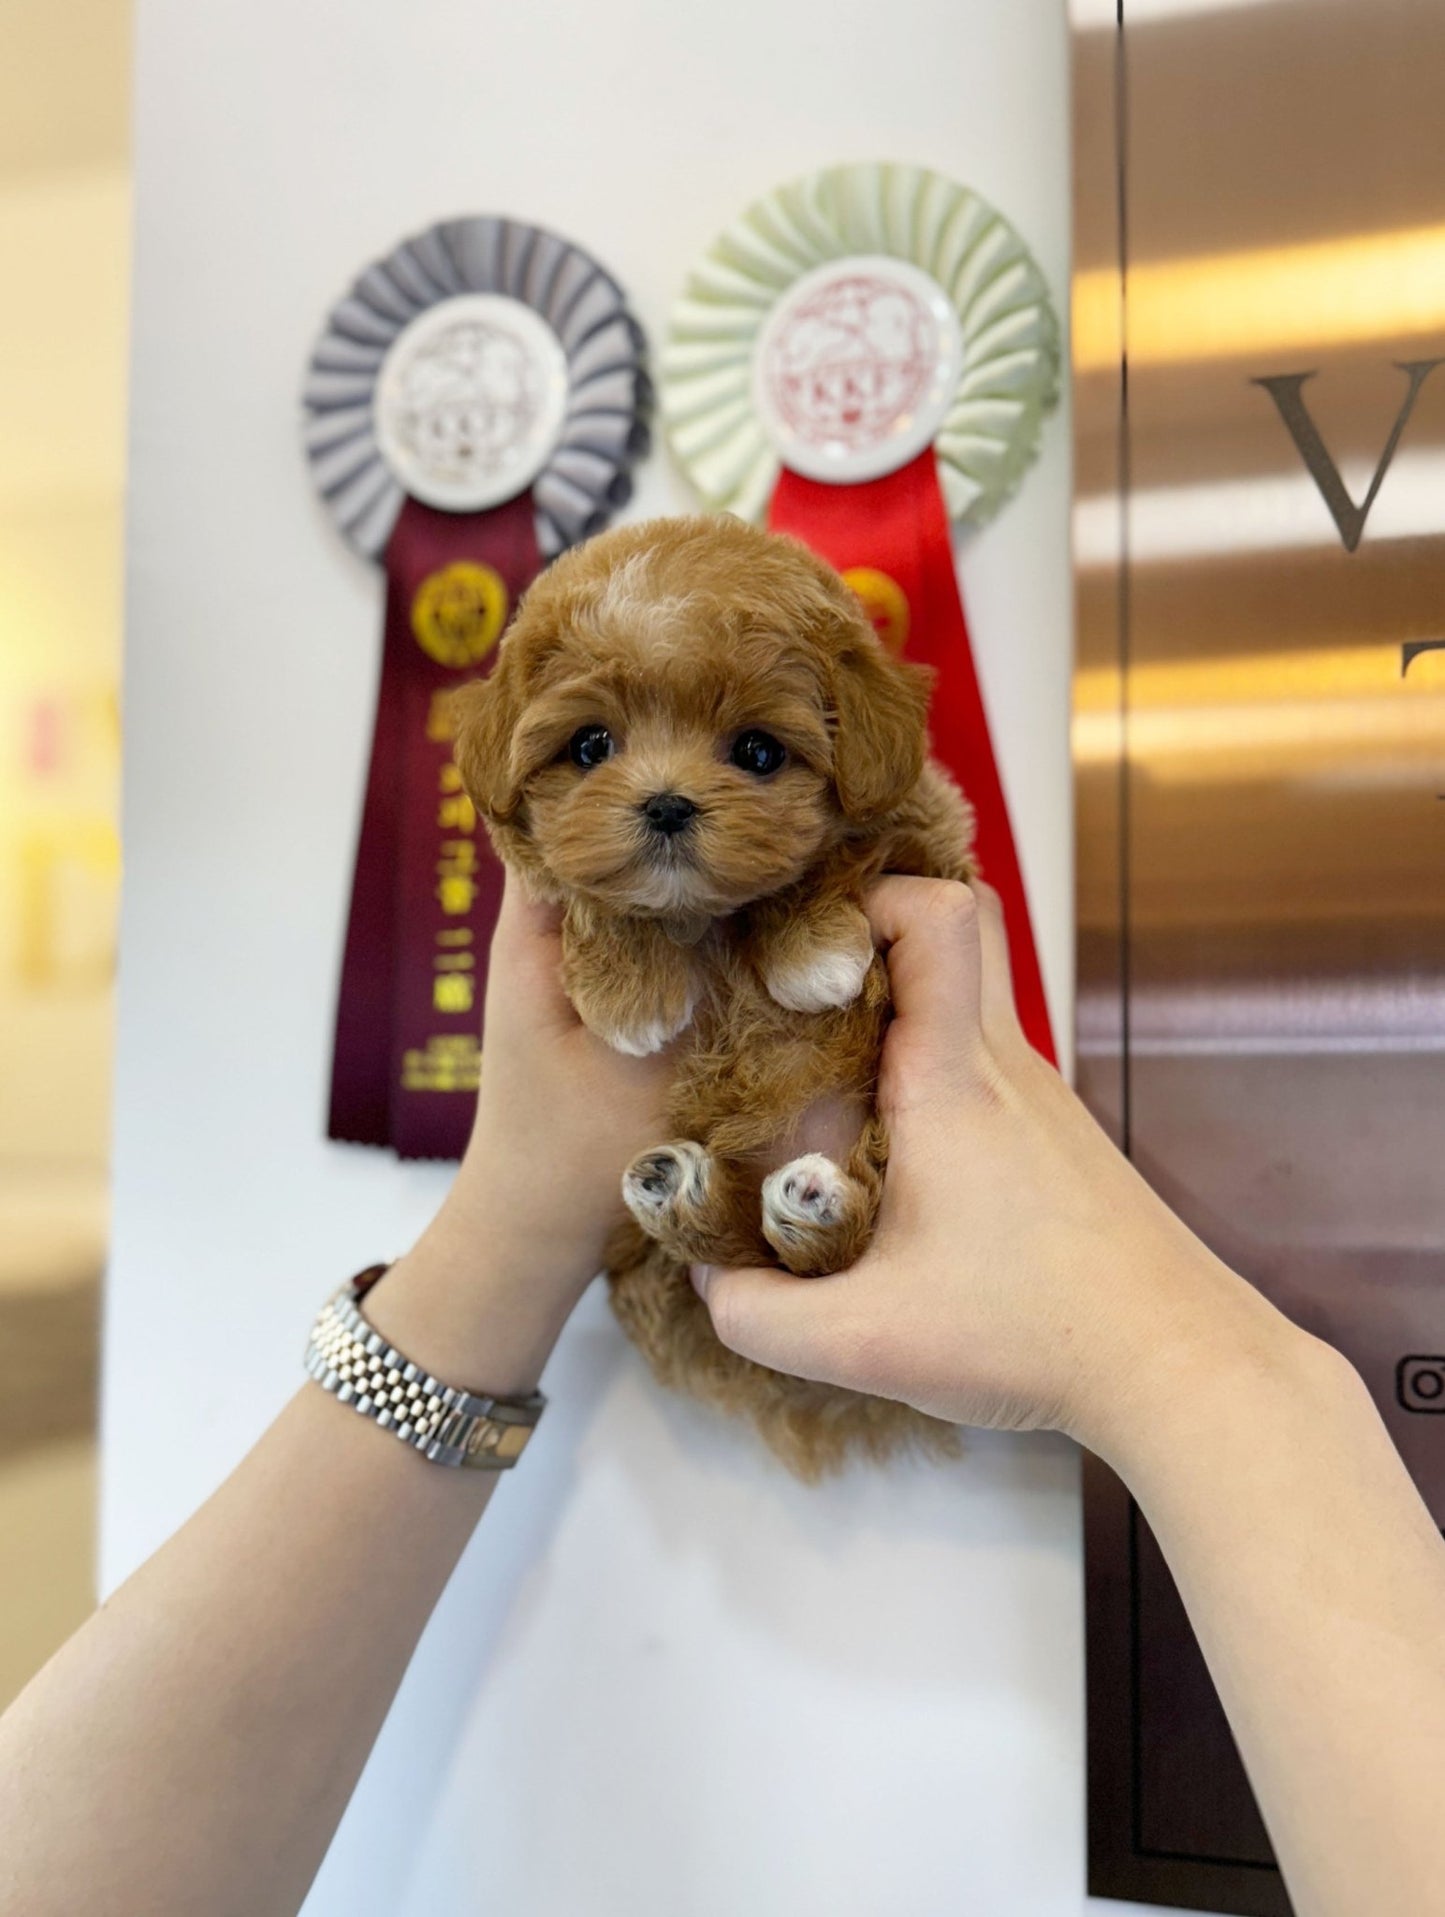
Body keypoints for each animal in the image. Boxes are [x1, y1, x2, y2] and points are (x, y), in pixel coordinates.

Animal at [450, 513, 969, 1479]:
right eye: (589, 746)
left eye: (758, 751)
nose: (664, 804)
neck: (706, 917)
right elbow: (596, 895)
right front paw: (631, 991)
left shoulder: (926, 832)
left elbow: (840, 854)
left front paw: (812, 951)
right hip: (656, 1272)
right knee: (729, 1243)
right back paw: (685, 1194)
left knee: (820, 1250)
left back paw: (812, 1209)